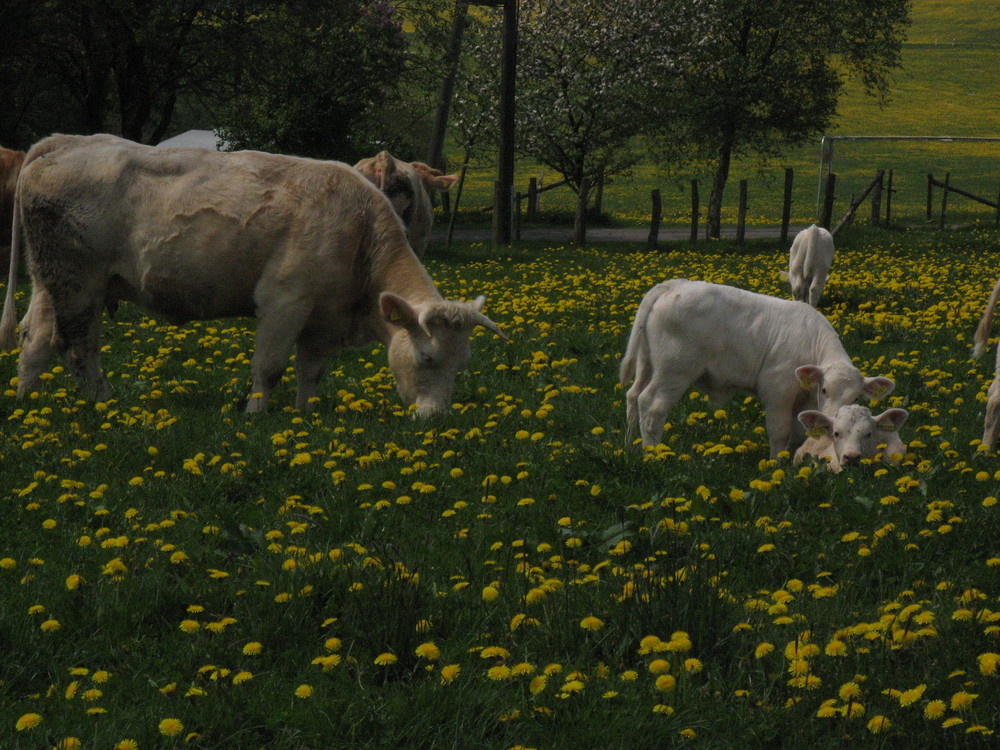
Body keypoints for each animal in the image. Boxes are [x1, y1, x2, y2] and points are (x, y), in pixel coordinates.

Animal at [0, 135, 500, 418]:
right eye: (428, 358)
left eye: (462, 363)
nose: (435, 417)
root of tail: (65, 142)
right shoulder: (285, 300)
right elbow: (271, 366)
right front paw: (257, 415)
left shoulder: (324, 316)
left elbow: (311, 371)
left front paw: (305, 416)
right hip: (78, 282)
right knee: (78, 346)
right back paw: (102, 406)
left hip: (50, 282)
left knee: (36, 340)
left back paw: (29, 405)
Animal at [620, 280, 896, 458]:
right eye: (825, 389)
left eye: (856, 397)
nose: (832, 421)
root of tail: (672, 285)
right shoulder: (778, 392)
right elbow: (780, 431)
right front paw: (776, 465)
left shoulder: (803, 401)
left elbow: (797, 434)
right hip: (674, 371)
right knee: (651, 405)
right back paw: (652, 452)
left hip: (647, 363)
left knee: (633, 395)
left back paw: (631, 441)